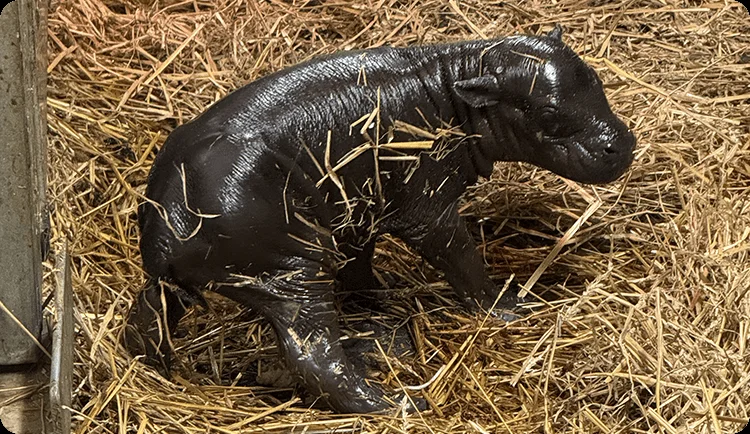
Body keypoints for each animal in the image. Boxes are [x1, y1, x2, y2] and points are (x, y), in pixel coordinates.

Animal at [123, 26, 635, 413]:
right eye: (546, 111)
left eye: (594, 77)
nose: (622, 145)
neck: (455, 85)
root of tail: (167, 225)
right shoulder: (426, 209)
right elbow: (462, 259)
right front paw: (508, 308)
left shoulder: (358, 210)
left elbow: (359, 266)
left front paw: (383, 302)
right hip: (291, 275)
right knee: (314, 357)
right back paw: (399, 403)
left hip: (189, 282)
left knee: (147, 318)